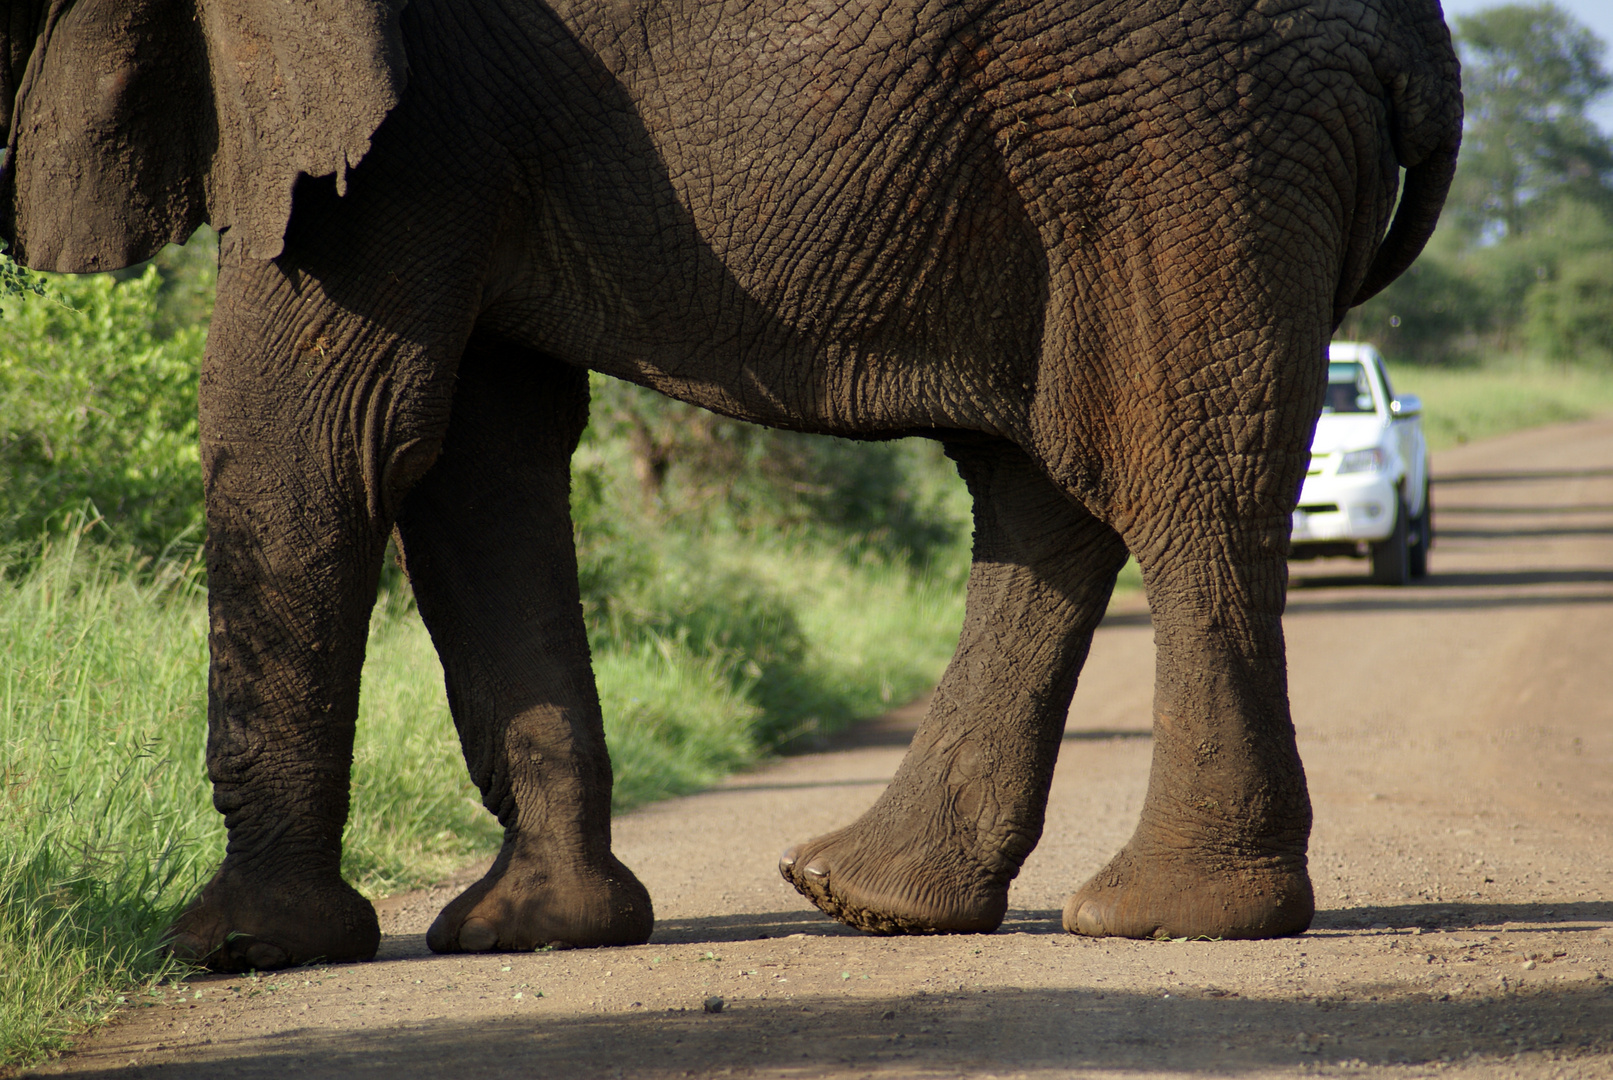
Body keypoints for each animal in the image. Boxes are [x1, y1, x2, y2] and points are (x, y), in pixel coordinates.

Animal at [3, 0, 1464, 973]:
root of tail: (1423, 44)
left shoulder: (405, 121)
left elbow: (311, 430)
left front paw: (237, 946)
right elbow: (480, 460)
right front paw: (537, 935)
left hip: (1188, 129)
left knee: (1172, 472)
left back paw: (1165, 919)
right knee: (1047, 485)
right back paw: (870, 897)